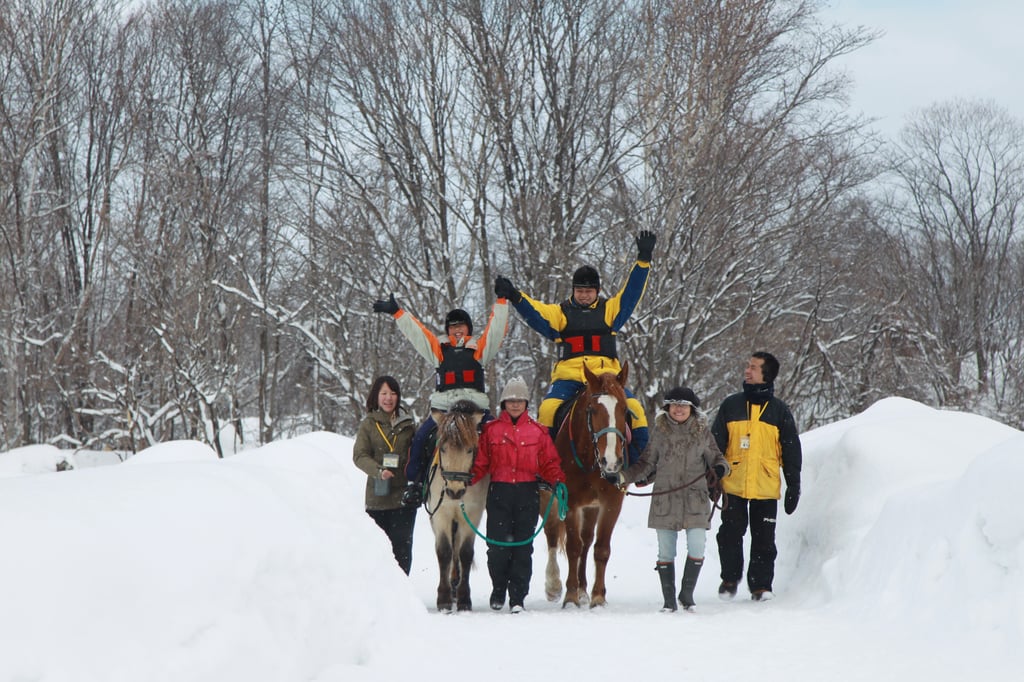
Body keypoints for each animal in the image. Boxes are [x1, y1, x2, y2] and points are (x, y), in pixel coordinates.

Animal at [423, 399, 487, 610]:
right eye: (442, 448)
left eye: (470, 449)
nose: (454, 491)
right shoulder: (441, 513)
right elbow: (444, 552)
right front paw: (443, 599)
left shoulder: (472, 515)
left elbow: (465, 553)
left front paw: (464, 598)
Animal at [540, 360, 626, 606]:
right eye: (593, 410)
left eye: (625, 410)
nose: (611, 462)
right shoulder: (569, 501)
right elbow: (572, 547)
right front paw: (569, 597)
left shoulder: (611, 503)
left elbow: (601, 549)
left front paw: (597, 596)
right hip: (548, 498)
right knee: (552, 535)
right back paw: (554, 586)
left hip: (591, 507)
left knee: (587, 541)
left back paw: (583, 589)